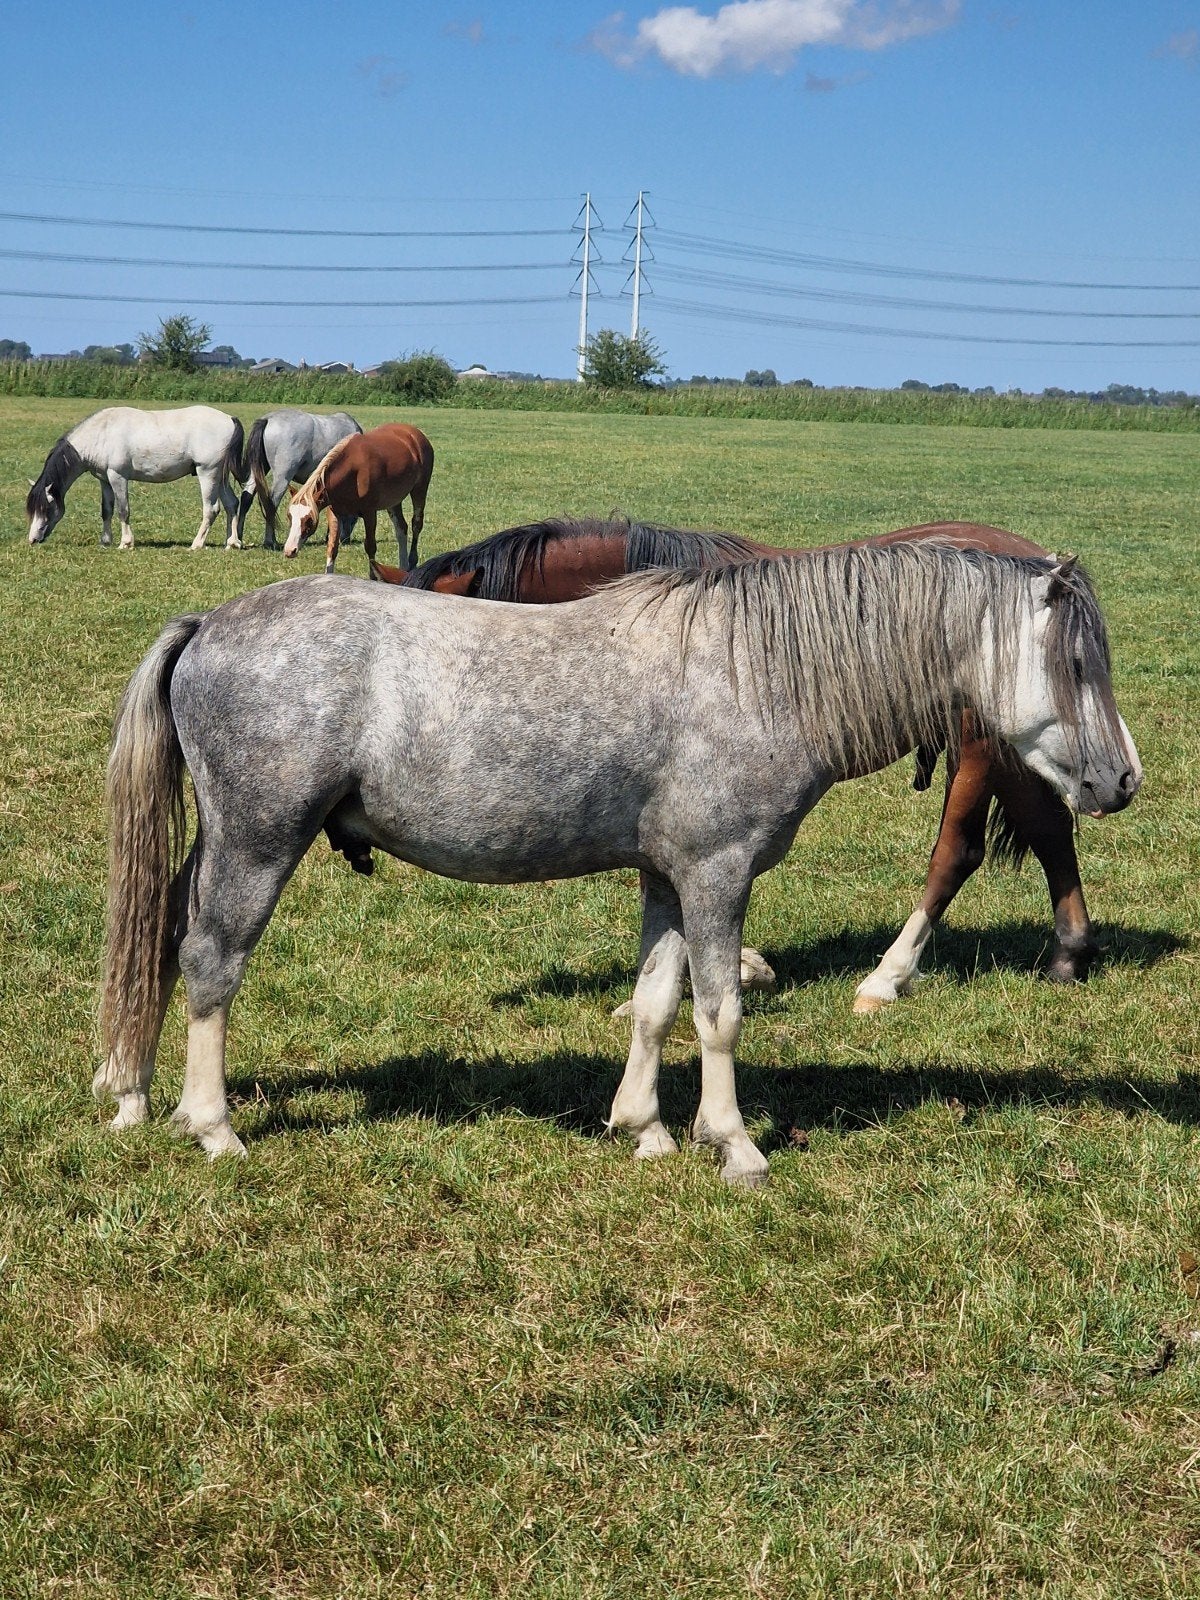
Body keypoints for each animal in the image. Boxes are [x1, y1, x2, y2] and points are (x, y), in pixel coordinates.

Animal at [26, 406, 244, 552]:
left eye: (45, 508)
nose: (33, 539)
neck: (102, 433)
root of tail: (229, 418)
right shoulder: (105, 480)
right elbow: (106, 511)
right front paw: (105, 541)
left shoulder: (118, 477)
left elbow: (123, 510)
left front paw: (126, 543)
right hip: (220, 477)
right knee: (232, 504)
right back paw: (232, 543)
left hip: (207, 473)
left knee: (211, 509)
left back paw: (197, 544)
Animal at [233, 409, 362, 550]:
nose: (345, 539)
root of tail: (268, 419)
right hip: (283, 477)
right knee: (271, 503)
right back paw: (270, 541)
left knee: (247, 497)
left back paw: (238, 537)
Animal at [283, 423, 434, 574]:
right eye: (290, 516)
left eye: (309, 519)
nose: (290, 550)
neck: (354, 473)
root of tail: (415, 433)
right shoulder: (334, 512)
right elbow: (332, 548)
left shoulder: (370, 513)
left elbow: (370, 547)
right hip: (393, 501)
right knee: (401, 528)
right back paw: (403, 567)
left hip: (420, 490)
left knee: (416, 524)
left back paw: (412, 561)